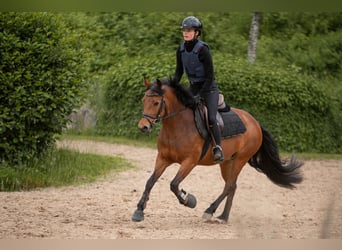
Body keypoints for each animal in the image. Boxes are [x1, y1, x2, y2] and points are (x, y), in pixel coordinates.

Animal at [132, 77, 304, 223]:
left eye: (156, 103)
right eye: (143, 100)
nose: (143, 127)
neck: (178, 126)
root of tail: (255, 122)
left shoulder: (189, 162)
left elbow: (174, 184)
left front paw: (189, 200)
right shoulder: (163, 158)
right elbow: (150, 182)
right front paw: (139, 211)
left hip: (240, 160)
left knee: (229, 186)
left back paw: (210, 211)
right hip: (227, 162)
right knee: (232, 185)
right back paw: (223, 216)